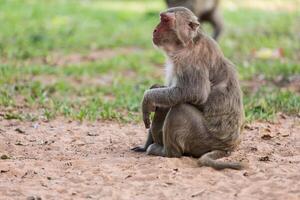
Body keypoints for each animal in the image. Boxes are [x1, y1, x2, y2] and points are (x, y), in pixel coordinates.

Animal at [132, 7, 245, 170]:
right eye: (161, 18)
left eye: (165, 20)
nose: (154, 30)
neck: (186, 44)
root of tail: (228, 147)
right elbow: (167, 91)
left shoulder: (191, 60)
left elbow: (194, 93)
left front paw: (147, 99)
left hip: (204, 140)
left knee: (180, 108)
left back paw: (166, 152)